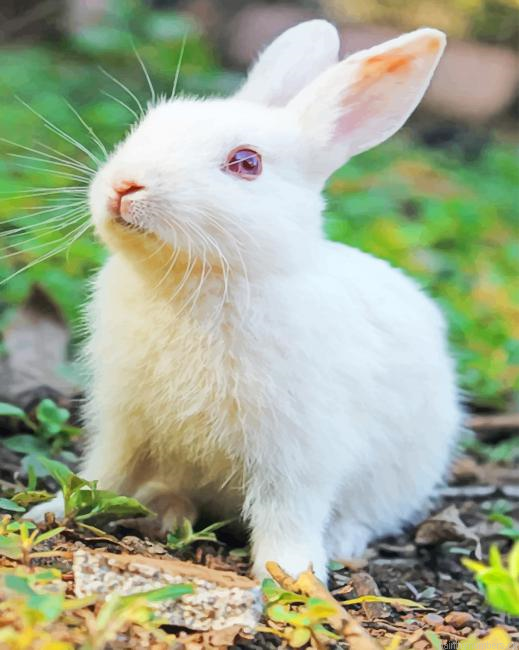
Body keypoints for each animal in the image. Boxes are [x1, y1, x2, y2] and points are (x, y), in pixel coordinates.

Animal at [27, 20, 461, 581]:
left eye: (247, 163)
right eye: (148, 125)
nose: (125, 186)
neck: (199, 280)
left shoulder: (296, 452)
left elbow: (286, 513)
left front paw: (292, 577)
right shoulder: (125, 424)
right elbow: (104, 474)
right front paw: (49, 511)